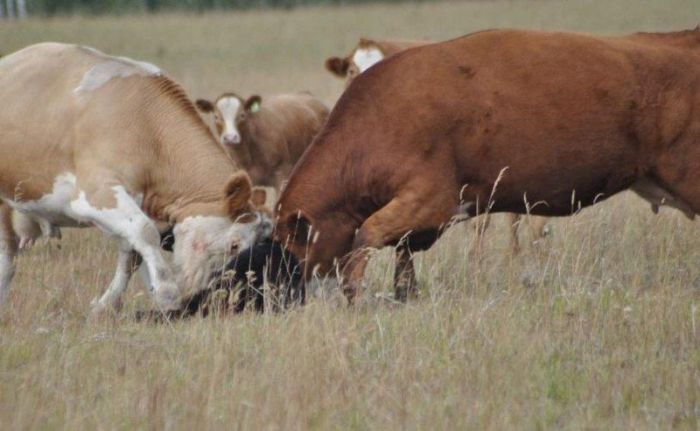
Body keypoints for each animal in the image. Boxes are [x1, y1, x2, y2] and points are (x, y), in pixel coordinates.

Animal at [0, 43, 270, 314]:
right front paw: (166, 292)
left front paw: (105, 305)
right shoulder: (98, 195)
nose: (212, 292)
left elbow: (131, 254)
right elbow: (145, 232)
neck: (149, 130)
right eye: (234, 245)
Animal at [276, 27, 700, 304]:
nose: (284, 294)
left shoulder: (431, 201)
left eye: (289, 248)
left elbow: (366, 237)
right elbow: (402, 259)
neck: (381, 117)